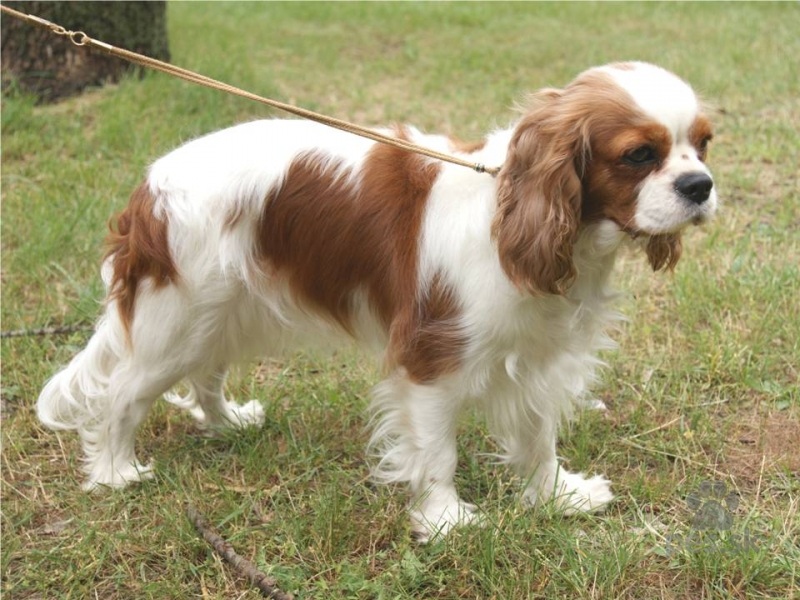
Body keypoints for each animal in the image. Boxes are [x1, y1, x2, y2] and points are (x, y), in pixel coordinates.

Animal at [37, 63, 716, 540]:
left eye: (704, 145)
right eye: (638, 155)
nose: (701, 185)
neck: (520, 215)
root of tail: (146, 192)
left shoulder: (535, 357)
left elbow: (538, 436)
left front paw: (556, 496)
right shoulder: (430, 357)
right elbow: (438, 451)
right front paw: (446, 521)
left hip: (222, 313)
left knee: (207, 375)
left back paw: (227, 423)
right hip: (176, 322)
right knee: (122, 396)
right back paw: (115, 472)